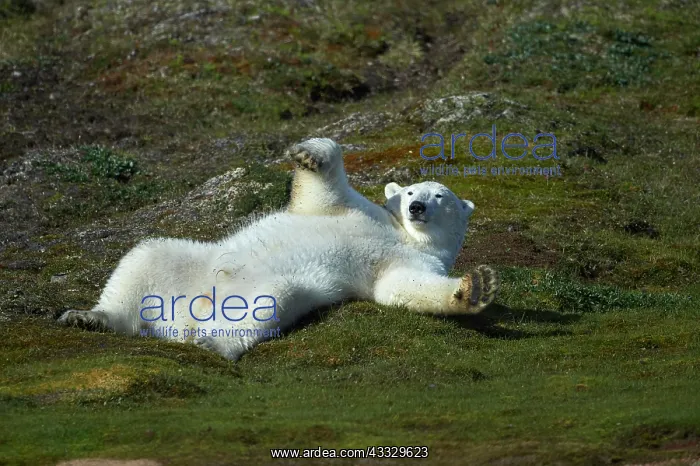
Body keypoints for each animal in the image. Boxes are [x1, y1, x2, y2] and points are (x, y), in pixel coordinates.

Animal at [59, 138, 499, 361]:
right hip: (187, 263)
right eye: (408, 191)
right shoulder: (360, 210)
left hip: (269, 289)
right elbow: (323, 189)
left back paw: (211, 342)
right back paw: (89, 317)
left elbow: (406, 288)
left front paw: (476, 287)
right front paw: (307, 153)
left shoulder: (408, 261)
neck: (403, 234)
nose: (417, 207)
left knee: (264, 306)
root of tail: (180, 319)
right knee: (144, 257)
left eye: (440, 195)